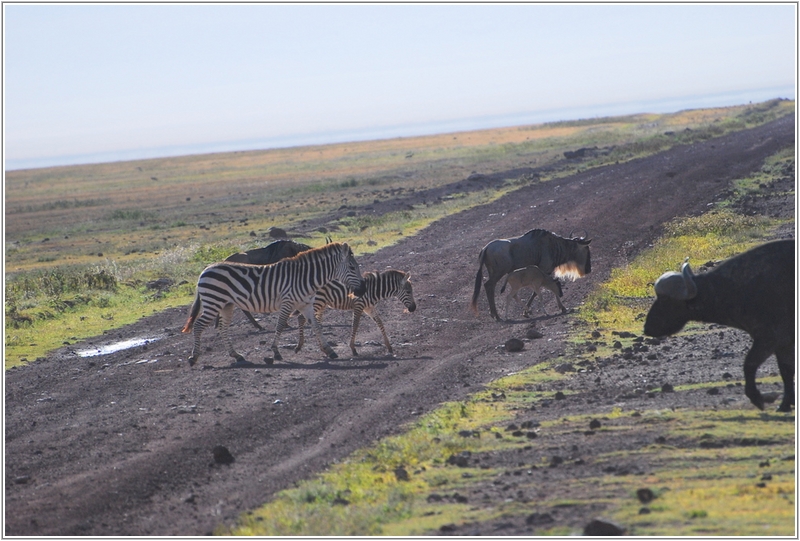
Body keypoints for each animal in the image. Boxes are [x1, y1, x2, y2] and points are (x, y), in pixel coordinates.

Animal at [182, 243, 366, 364]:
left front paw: (329, 350)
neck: (305, 278)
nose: (363, 290)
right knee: (198, 325)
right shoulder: (287, 302)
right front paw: (276, 353)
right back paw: (194, 357)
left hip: (226, 305)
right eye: (352, 267)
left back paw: (237, 355)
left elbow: (317, 326)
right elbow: (280, 326)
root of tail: (205, 269)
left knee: (223, 329)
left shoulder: (306, 305)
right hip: (213, 302)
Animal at [644, 238, 792, 412]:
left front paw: (758, 398)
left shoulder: (769, 338)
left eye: (665, 299)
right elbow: (786, 370)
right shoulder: (783, 343)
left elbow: (749, 364)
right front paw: (785, 404)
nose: (647, 328)